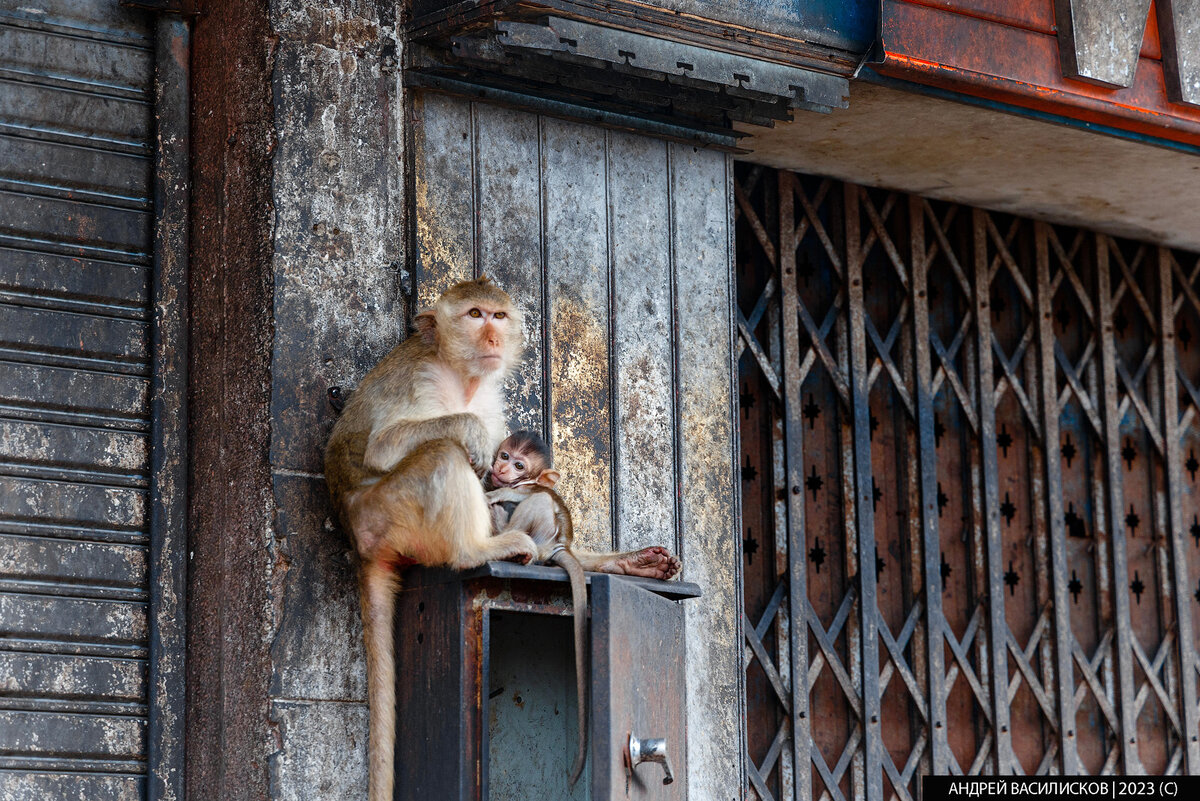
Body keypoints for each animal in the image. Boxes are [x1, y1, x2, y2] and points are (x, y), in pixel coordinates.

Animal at [326, 278, 537, 801]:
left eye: (499, 316)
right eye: (475, 314)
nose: (492, 338)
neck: (462, 377)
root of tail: (358, 539)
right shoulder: (420, 379)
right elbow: (384, 448)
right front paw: (471, 432)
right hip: (386, 511)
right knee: (441, 452)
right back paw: (475, 550)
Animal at [482, 429, 681, 786]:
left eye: (519, 464)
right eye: (504, 456)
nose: (502, 468)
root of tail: (555, 546)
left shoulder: (526, 485)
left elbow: (520, 494)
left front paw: (497, 493)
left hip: (539, 534)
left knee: (539, 503)